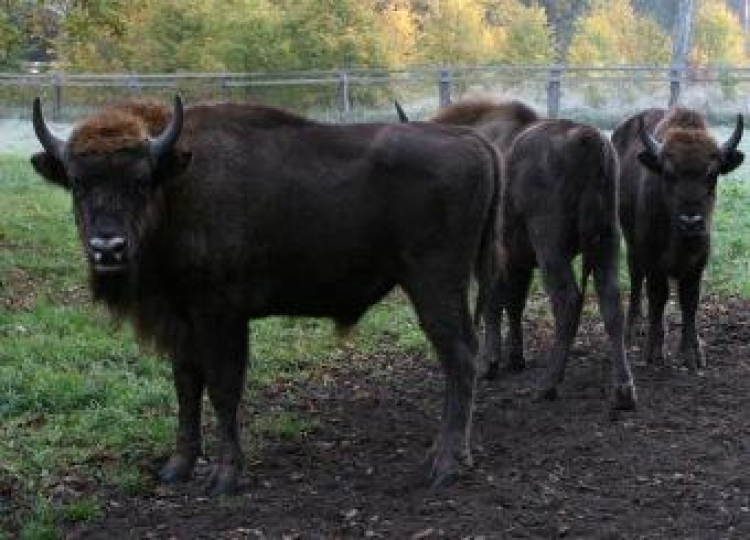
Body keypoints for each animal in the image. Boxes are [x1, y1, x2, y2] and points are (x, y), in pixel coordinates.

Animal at [30, 96, 500, 494]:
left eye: (141, 181)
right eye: (77, 182)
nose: (107, 248)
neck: (178, 184)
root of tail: (472, 141)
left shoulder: (220, 317)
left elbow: (223, 389)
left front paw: (224, 477)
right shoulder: (183, 322)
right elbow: (186, 387)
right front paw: (177, 468)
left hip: (434, 284)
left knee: (459, 355)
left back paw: (445, 465)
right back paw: (452, 455)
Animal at [432, 99, 636, 408]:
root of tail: (588, 140)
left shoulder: (494, 258)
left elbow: (494, 303)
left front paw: (489, 363)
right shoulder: (518, 261)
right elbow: (514, 303)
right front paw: (515, 358)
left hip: (551, 247)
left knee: (567, 301)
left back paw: (548, 385)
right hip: (607, 240)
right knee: (612, 303)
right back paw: (624, 389)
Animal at [612, 107, 744, 370]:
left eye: (713, 173)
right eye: (668, 173)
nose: (691, 222)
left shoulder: (698, 263)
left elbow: (689, 301)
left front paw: (692, 353)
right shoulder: (652, 261)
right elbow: (658, 297)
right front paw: (653, 352)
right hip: (631, 244)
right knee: (635, 279)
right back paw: (633, 327)